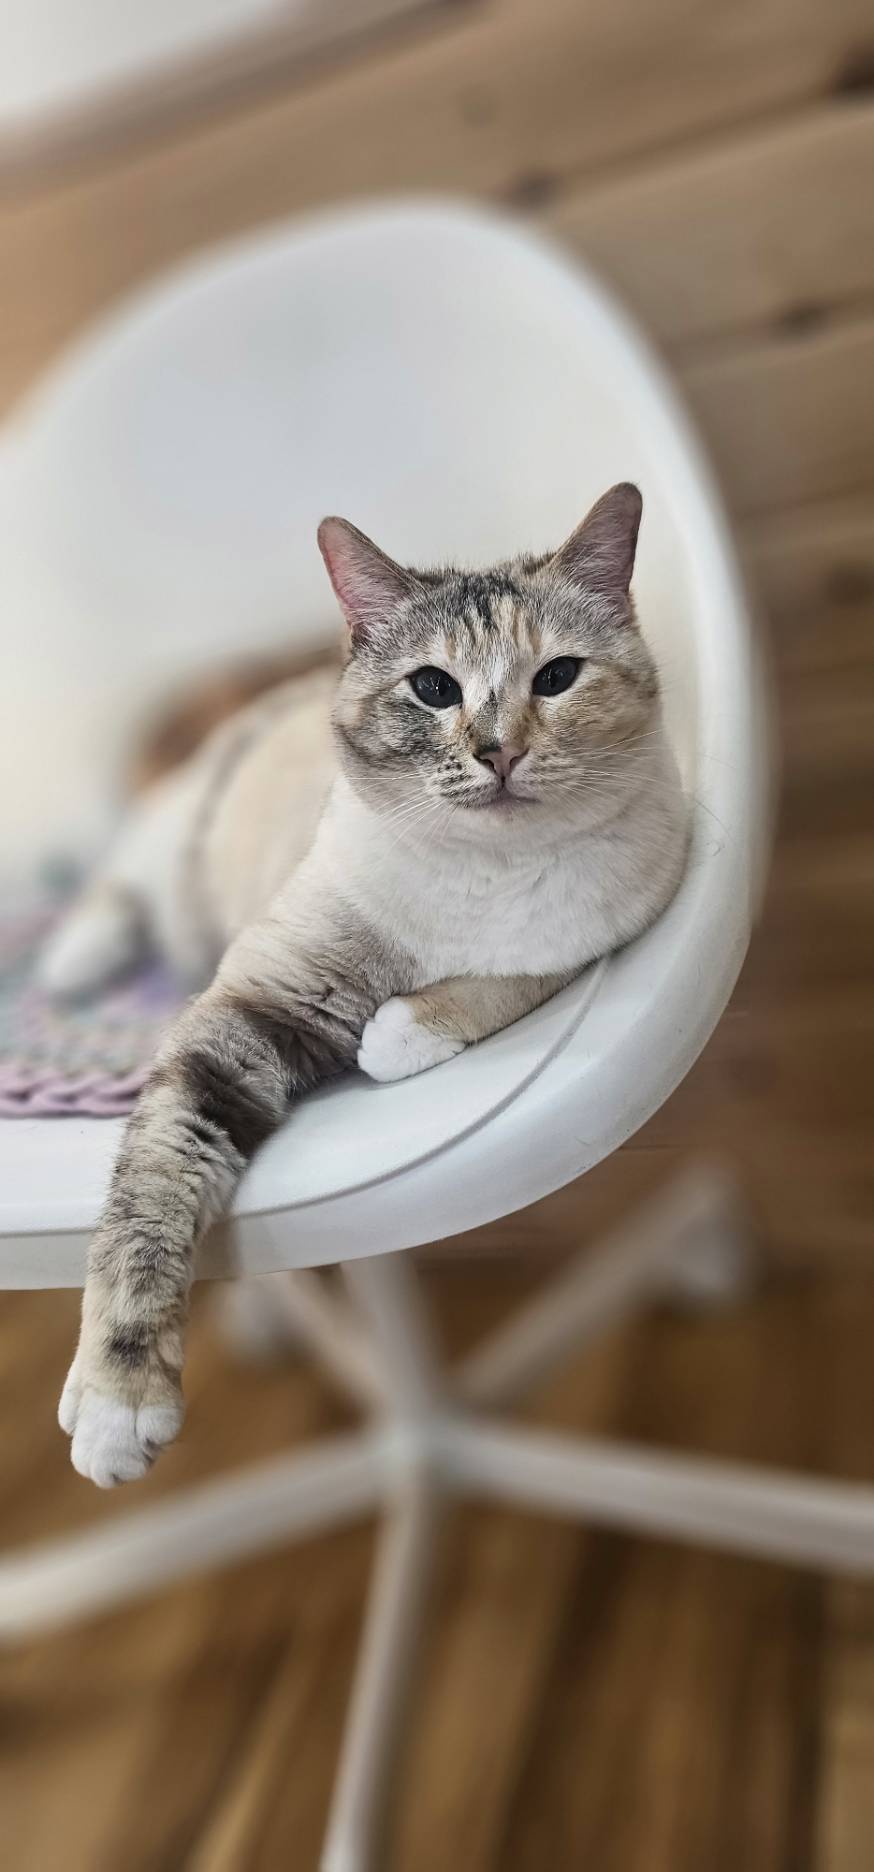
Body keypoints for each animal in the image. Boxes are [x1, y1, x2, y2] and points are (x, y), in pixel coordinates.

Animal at [50, 482, 688, 1488]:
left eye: (557, 676)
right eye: (433, 688)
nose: (498, 752)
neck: (483, 871)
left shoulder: (607, 926)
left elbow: (496, 986)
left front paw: (398, 1031)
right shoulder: (251, 1009)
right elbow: (154, 1184)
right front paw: (120, 1406)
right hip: (172, 858)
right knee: (121, 886)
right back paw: (73, 955)